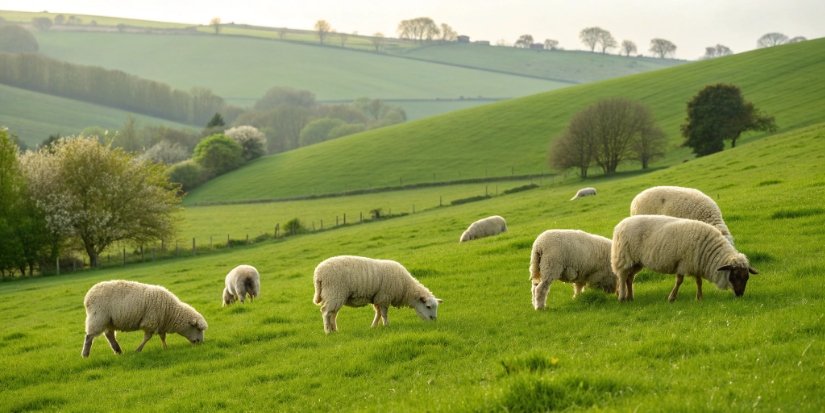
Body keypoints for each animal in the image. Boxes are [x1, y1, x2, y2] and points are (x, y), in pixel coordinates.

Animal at [312, 255, 442, 333]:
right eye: (428, 306)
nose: (434, 320)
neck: (406, 288)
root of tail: (318, 274)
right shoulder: (384, 297)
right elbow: (383, 314)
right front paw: (386, 325)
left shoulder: (378, 298)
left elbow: (378, 313)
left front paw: (374, 326)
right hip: (334, 292)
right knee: (326, 312)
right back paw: (328, 332)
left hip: (335, 296)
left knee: (332, 314)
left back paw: (334, 330)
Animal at [611, 215, 758, 303]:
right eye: (735, 276)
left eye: (746, 277)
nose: (740, 295)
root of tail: (620, 224)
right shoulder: (683, 263)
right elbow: (679, 281)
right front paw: (672, 297)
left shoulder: (695, 264)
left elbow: (699, 282)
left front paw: (699, 297)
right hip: (624, 257)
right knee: (622, 277)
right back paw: (622, 297)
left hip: (636, 262)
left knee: (629, 279)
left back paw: (630, 297)